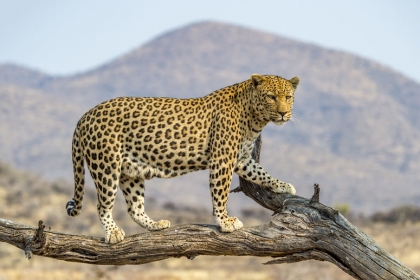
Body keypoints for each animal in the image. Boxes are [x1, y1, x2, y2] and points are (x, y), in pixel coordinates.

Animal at [65, 74, 298, 243]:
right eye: (271, 97)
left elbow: (261, 173)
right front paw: (224, 221)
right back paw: (113, 233)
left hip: (130, 172)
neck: (255, 119)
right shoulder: (222, 160)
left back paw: (156, 225)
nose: (283, 113)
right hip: (106, 166)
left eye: (288, 97)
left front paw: (283, 185)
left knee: (134, 208)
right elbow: (220, 194)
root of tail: (85, 116)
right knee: (102, 206)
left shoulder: (241, 159)